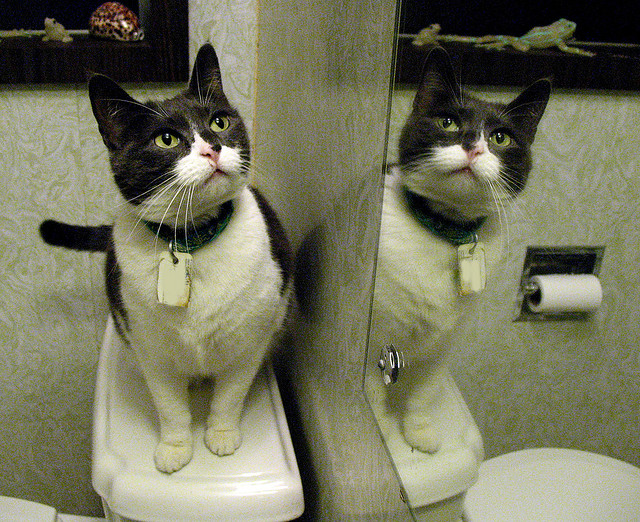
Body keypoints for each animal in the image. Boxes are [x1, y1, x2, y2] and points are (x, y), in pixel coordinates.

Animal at [40, 43, 293, 473]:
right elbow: (170, 407)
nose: (212, 148)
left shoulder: (248, 343)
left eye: (219, 121)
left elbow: (230, 395)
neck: (192, 241)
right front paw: (175, 448)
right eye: (167, 139)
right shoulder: (151, 352)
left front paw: (221, 434)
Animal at [368, 47, 550, 453]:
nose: (473, 146)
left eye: (501, 137)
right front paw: (383, 430)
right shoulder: (374, 333)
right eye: (448, 122)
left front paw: (419, 432)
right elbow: (373, 388)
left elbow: (424, 390)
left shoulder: (444, 340)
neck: (443, 231)